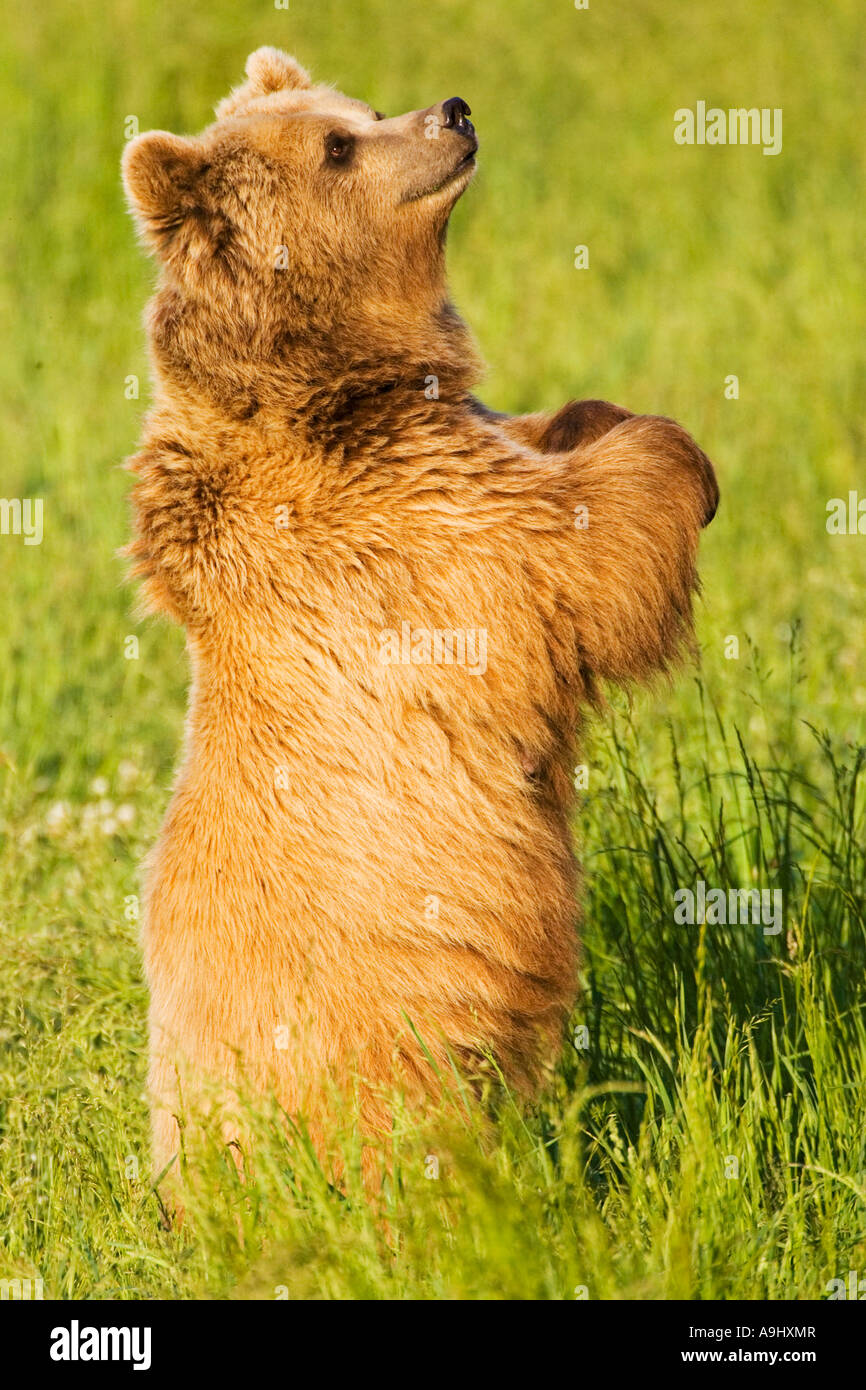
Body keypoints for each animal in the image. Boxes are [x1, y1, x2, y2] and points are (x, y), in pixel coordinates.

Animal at [121, 46, 718, 1196]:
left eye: (357, 106)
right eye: (338, 147)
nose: (452, 110)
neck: (328, 381)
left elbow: (544, 434)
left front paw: (604, 414)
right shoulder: (403, 525)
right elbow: (585, 557)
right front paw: (683, 459)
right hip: (375, 1049)